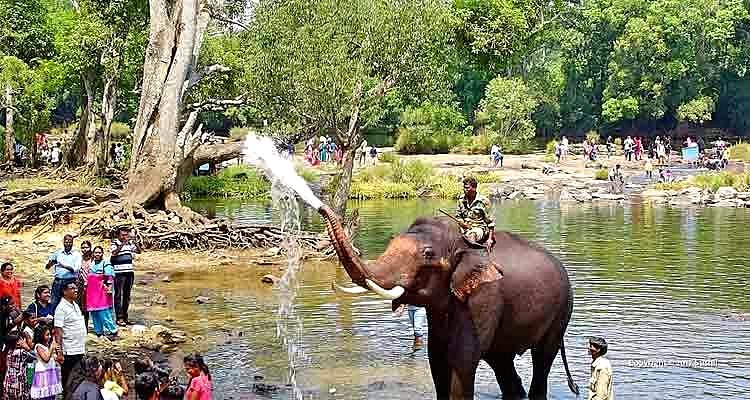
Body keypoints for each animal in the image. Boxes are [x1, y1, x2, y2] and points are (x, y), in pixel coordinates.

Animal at [318, 205, 580, 400]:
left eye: (427, 254)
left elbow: (462, 358)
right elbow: (437, 357)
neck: (462, 241)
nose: (320, 207)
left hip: (562, 309)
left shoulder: (483, 297)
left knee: (543, 356)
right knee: (501, 361)